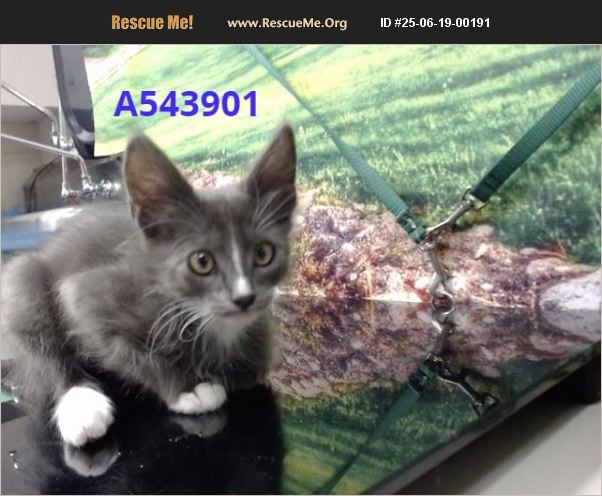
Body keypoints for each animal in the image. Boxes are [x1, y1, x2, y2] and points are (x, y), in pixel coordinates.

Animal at [1, 125, 296, 447]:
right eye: (202, 261)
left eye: (263, 253)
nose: (244, 298)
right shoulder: (89, 293)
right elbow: (125, 350)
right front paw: (188, 388)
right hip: (22, 280)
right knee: (40, 342)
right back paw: (81, 404)